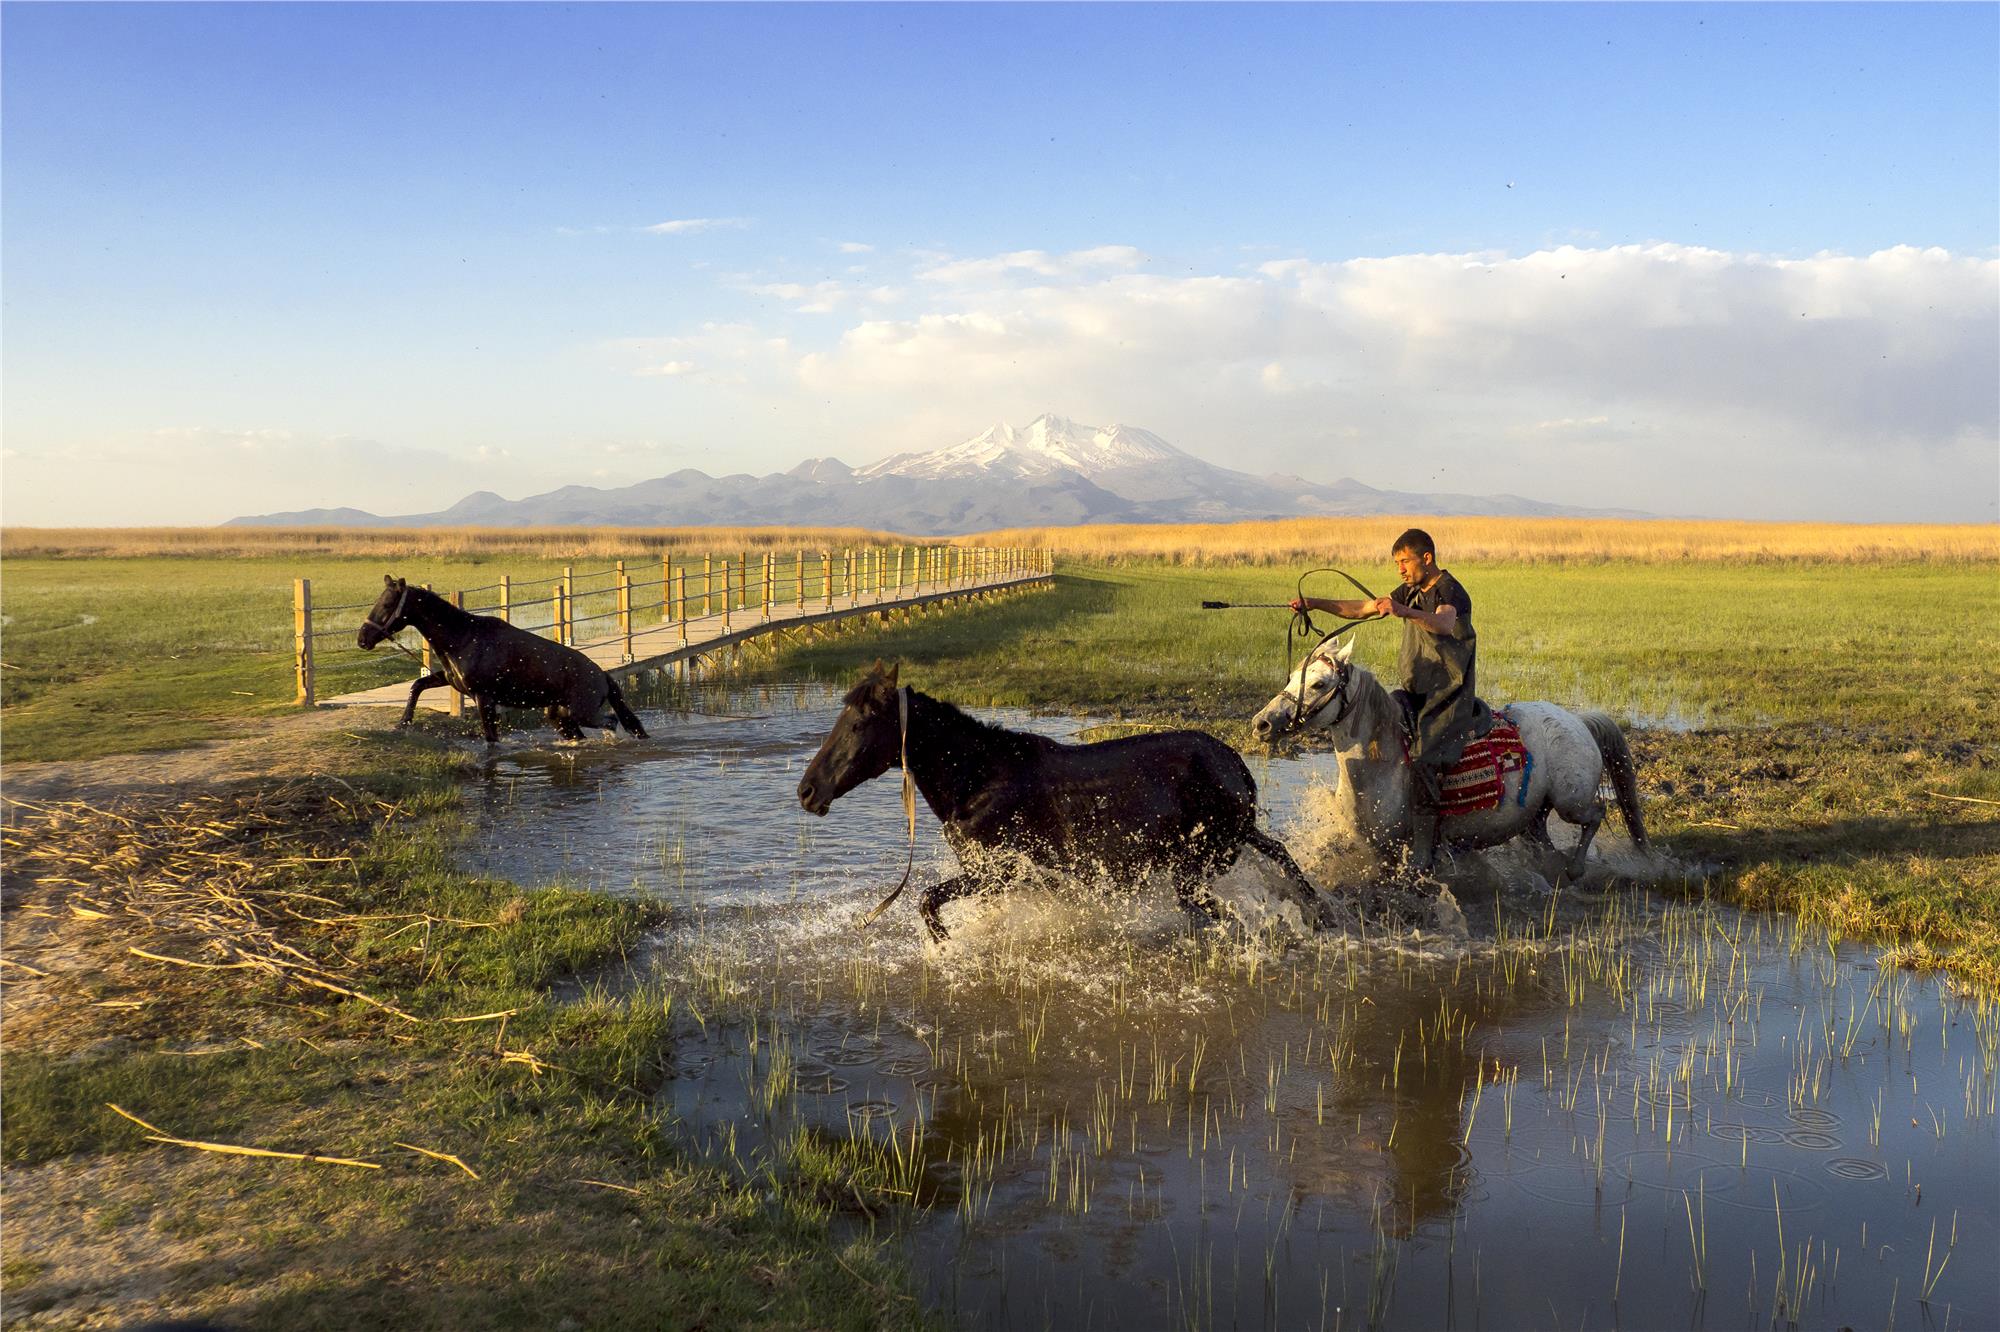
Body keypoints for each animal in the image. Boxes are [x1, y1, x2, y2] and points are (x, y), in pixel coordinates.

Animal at [356, 576, 644, 740]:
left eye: (387, 605)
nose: (362, 639)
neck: (463, 637)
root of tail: (602, 675)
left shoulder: (484, 699)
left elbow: (491, 739)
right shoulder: (451, 681)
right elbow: (417, 686)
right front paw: (404, 721)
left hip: (582, 713)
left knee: (612, 721)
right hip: (561, 717)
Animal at [796, 660, 1328, 932]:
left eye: (859, 724)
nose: (806, 792)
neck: (977, 779)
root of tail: (1233, 764)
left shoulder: (1002, 872)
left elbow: (927, 900)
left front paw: (943, 944)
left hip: (1199, 865)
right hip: (1228, 846)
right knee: (1279, 857)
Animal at [1240, 636, 1648, 880]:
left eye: (1319, 683)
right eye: (1292, 677)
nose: (1262, 723)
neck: (1382, 766)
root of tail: (1578, 720)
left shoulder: (1407, 850)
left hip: (1570, 801)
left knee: (1596, 814)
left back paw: (1576, 869)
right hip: (1537, 813)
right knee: (1542, 839)